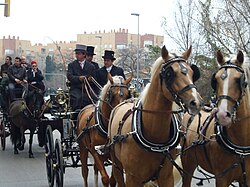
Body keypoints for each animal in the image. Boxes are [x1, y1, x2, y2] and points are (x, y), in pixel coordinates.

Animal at [108, 45, 203, 187]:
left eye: (192, 72)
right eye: (169, 74)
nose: (195, 102)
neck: (154, 135)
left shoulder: (166, 178)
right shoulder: (132, 178)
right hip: (116, 165)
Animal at [181, 50, 250, 187]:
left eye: (239, 80)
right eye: (216, 80)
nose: (222, 115)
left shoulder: (247, 179)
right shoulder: (221, 178)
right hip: (187, 164)